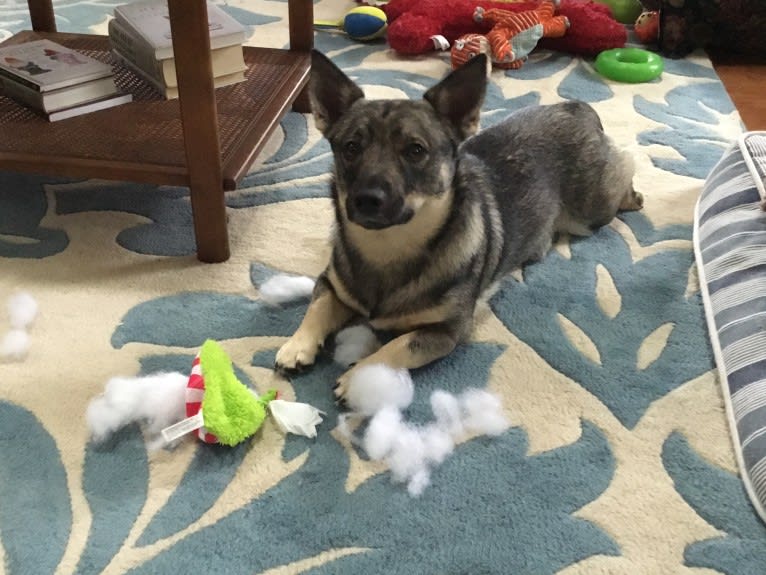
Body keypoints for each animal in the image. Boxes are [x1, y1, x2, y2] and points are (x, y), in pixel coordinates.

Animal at [272, 50, 644, 400]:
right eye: (350, 147)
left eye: (415, 150)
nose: (366, 199)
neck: (388, 247)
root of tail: (576, 108)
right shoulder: (331, 283)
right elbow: (318, 306)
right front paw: (297, 345)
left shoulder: (446, 332)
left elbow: (395, 345)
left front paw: (357, 378)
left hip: (593, 209)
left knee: (626, 167)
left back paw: (634, 195)